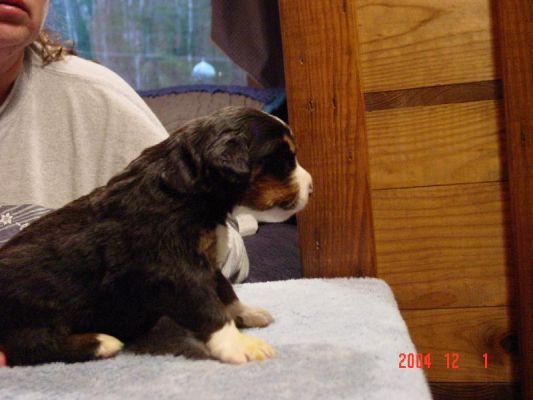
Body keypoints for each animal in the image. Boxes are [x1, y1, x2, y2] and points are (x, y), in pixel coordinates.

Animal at [0, 105, 312, 366]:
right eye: (285, 160)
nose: (311, 187)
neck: (190, 192)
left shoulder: (205, 261)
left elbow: (226, 291)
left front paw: (246, 313)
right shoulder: (173, 271)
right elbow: (207, 306)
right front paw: (239, 345)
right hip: (30, 314)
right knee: (30, 346)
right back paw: (101, 342)